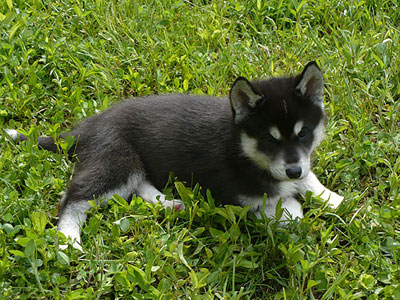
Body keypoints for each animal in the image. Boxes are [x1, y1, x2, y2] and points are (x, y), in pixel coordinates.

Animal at [4, 60, 344, 248]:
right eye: (268, 140)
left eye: (303, 133)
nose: (292, 171)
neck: (242, 148)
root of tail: (86, 126)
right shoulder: (239, 198)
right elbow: (284, 206)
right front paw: (296, 214)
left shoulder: (301, 164)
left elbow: (311, 181)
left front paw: (338, 201)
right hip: (117, 160)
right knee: (74, 197)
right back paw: (68, 241)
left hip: (132, 164)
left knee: (140, 188)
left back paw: (173, 204)